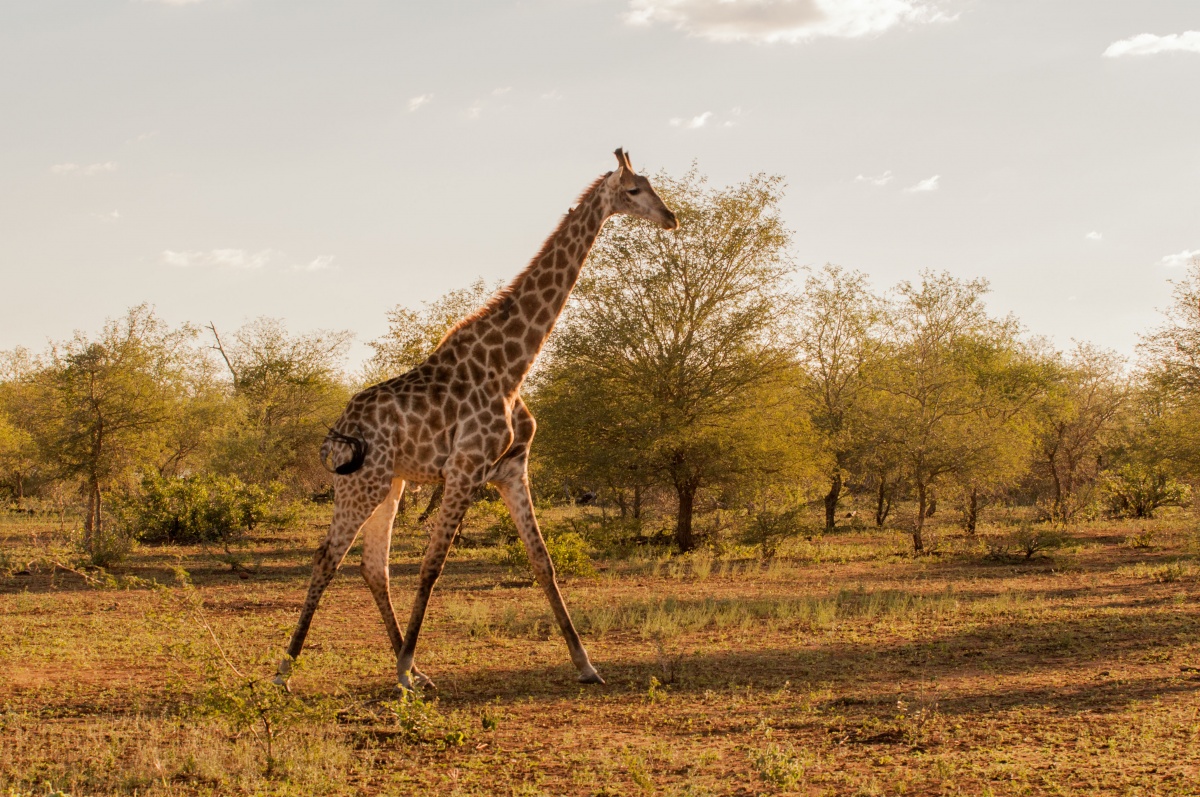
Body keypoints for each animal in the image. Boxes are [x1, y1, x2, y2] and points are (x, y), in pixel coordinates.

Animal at [276, 149, 678, 691]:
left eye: (651, 184)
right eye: (634, 190)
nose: (671, 217)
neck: (512, 366)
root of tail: (337, 430)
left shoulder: (511, 469)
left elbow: (543, 562)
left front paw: (587, 665)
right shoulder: (465, 469)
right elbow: (432, 566)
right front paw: (402, 672)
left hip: (391, 482)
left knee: (373, 566)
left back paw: (415, 669)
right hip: (360, 480)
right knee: (327, 557)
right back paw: (286, 671)